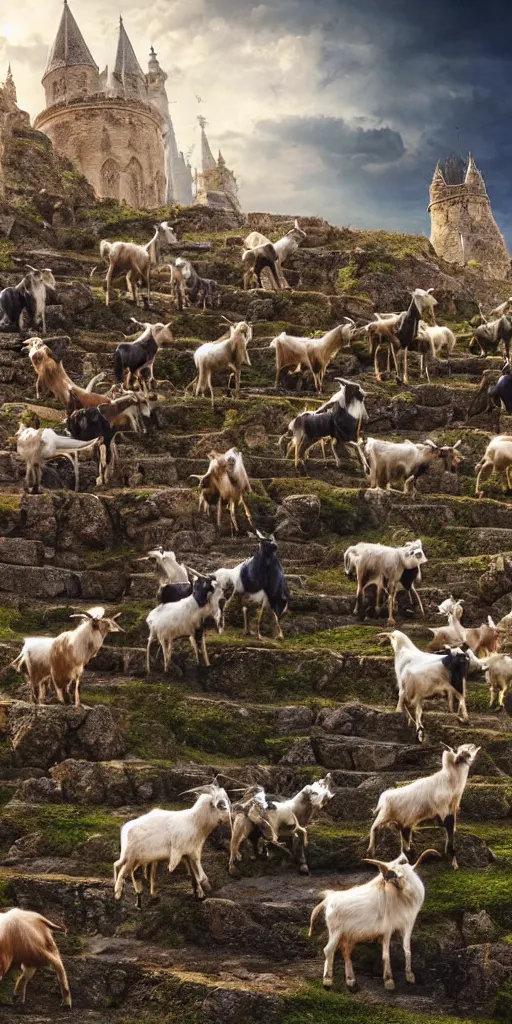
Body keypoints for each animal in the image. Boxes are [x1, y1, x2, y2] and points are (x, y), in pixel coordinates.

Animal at [307, 847, 436, 991]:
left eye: (400, 874)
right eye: (392, 877)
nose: (407, 891)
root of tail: (328, 900)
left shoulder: (408, 925)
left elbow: (407, 949)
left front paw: (410, 976)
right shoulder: (387, 929)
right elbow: (386, 954)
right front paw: (389, 981)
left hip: (348, 935)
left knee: (345, 950)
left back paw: (351, 980)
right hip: (336, 931)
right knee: (329, 949)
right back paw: (327, 981)